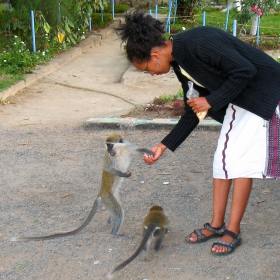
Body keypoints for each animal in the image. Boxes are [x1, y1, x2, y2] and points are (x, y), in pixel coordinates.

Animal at [10, 135, 154, 242]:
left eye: (110, 145)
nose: (108, 150)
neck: (119, 151)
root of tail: (101, 192)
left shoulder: (127, 146)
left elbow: (137, 149)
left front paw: (149, 151)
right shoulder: (109, 159)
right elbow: (108, 169)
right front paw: (124, 174)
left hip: (114, 195)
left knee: (116, 209)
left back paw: (110, 221)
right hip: (108, 197)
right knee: (118, 211)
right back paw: (115, 233)